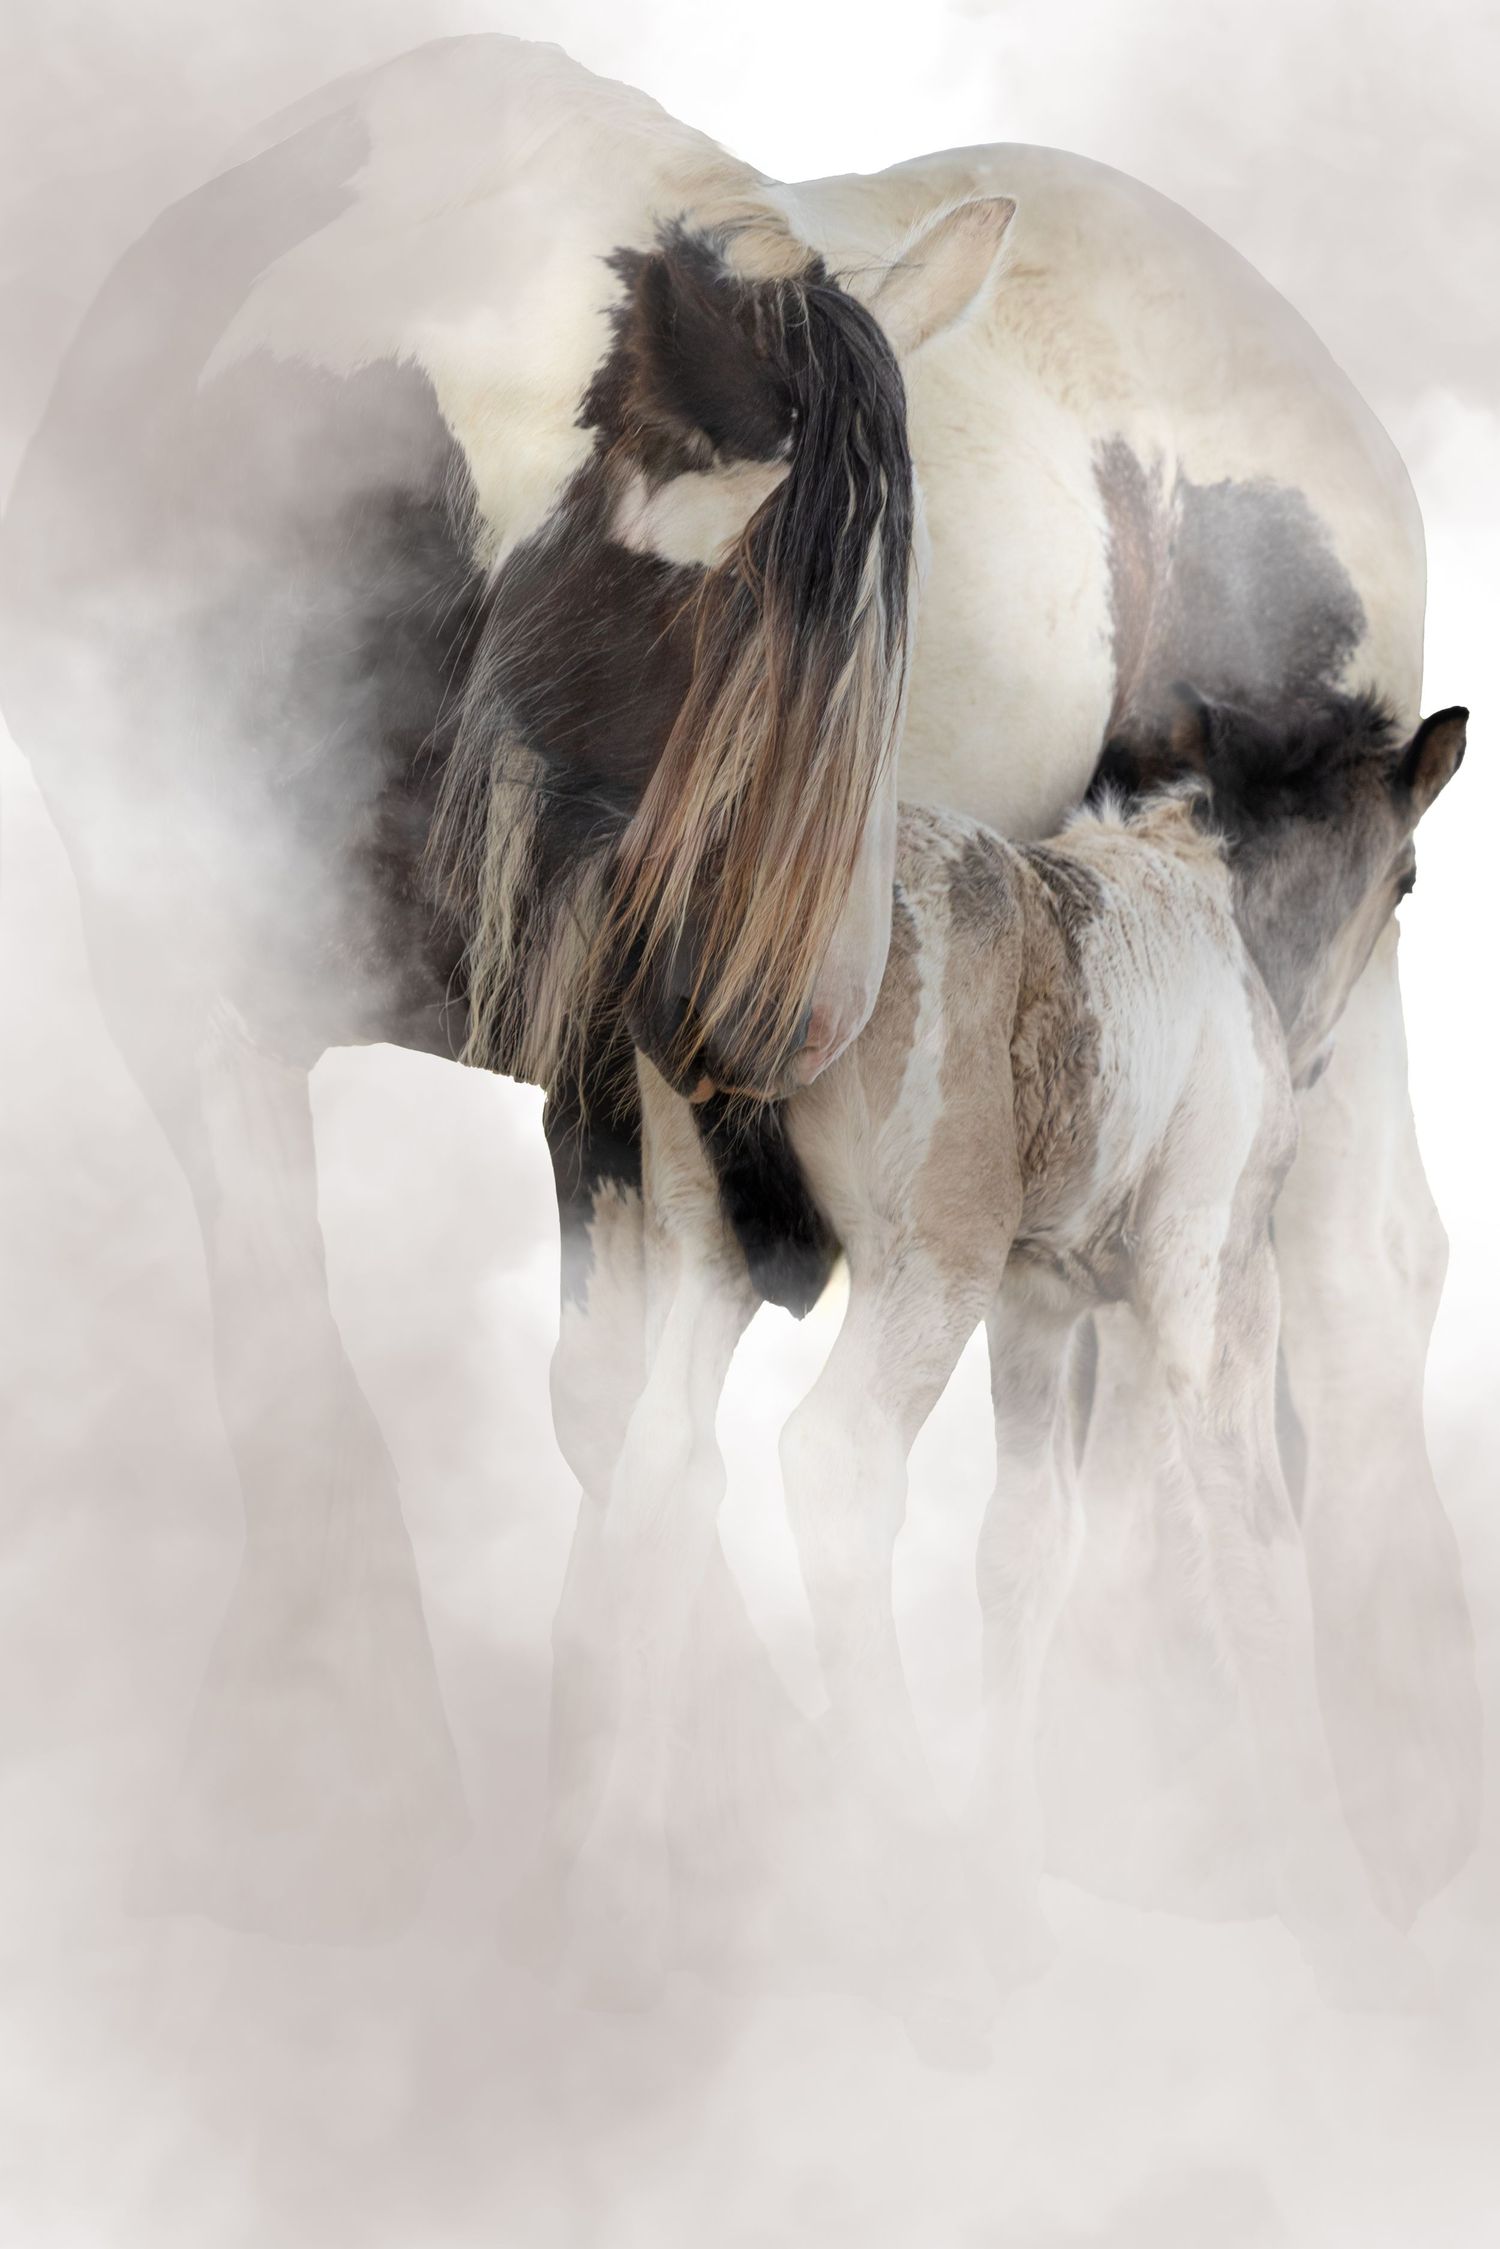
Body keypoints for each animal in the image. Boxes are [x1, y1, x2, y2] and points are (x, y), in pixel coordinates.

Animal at [611, 690, 1467, 2044]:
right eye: (1409, 878)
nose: (1323, 1059)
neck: (1199, 901)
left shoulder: (1040, 1302)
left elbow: (1028, 1546)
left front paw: (1018, 1886)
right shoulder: (1216, 1274)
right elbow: (1255, 1544)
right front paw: (1350, 1934)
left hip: (704, 1247)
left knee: (663, 1466)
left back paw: (626, 1915)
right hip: (928, 1261)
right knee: (833, 1457)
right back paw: (927, 1942)